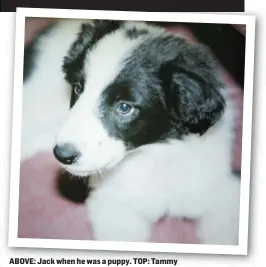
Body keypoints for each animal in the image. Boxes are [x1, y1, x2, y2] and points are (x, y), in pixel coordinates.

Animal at [21, 18, 241, 245]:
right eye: (78, 89)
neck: (153, 153)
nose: (63, 155)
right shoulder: (113, 207)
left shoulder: (225, 190)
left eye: (125, 107)